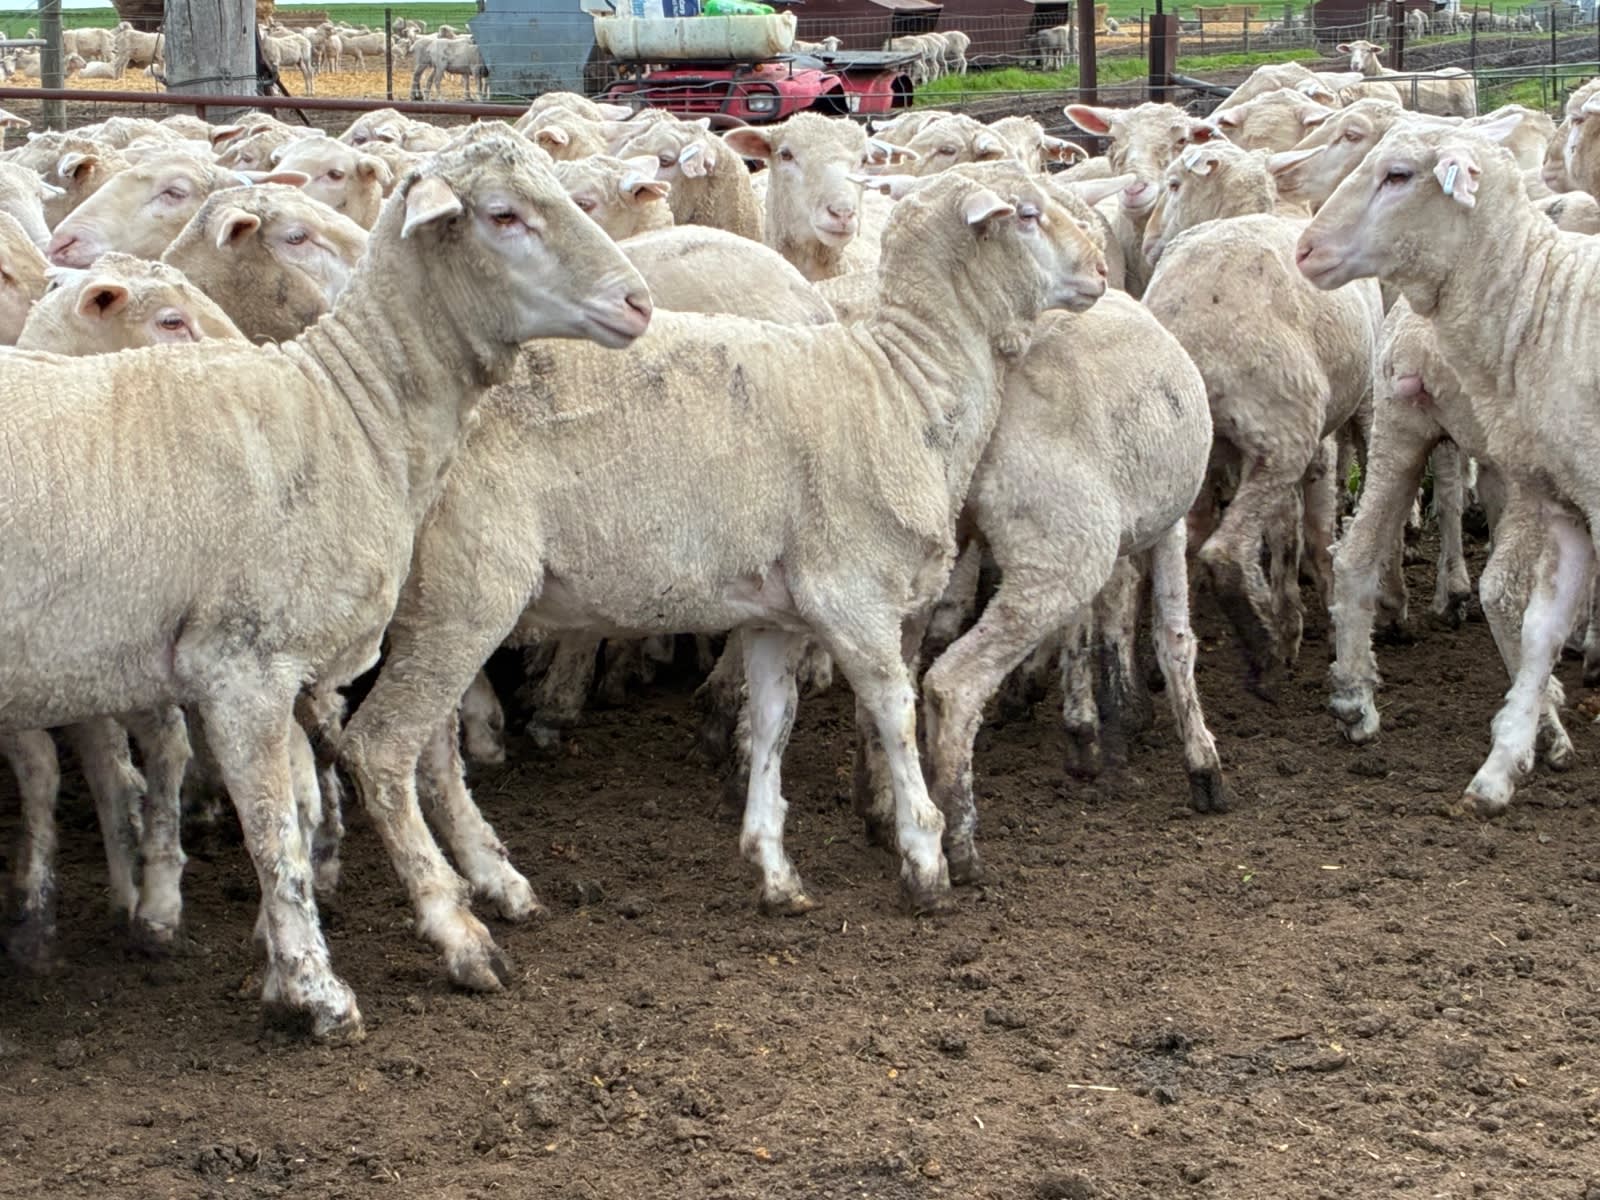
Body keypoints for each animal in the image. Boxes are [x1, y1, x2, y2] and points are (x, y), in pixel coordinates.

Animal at [331, 163, 1107, 984]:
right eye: (1027, 214)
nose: (1101, 271)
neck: (906, 387)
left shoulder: (775, 615)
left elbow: (772, 724)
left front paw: (774, 871)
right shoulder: (852, 595)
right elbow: (894, 713)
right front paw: (925, 862)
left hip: (438, 600)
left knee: (433, 749)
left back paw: (500, 883)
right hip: (470, 585)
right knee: (382, 747)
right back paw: (459, 934)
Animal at [1141, 139, 1382, 690]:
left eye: (1173, 184)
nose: (1145, 241)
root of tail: (1195, 331)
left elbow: (1287, 529)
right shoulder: (1319, 440)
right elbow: (1310, 532)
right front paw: (1303, 619)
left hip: (1202, 449)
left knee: (1194, 542)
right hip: (1282, 435)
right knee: (1224, 550)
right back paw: (1263, 653)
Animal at [1295, 122, 1600, 812]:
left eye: (1399, 175)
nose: (1304, 248)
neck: (1548, 301)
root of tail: (1416, 344)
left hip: (1396, 428)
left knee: (1356, 551)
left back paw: (1354, 698)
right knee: (1500, 586)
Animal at [1338, 39, 1477, 117]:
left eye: (1368, 50)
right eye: (1350, 51)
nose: (1355, 65)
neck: (1380, 73)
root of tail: (1466, 74)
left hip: (1468, 111)